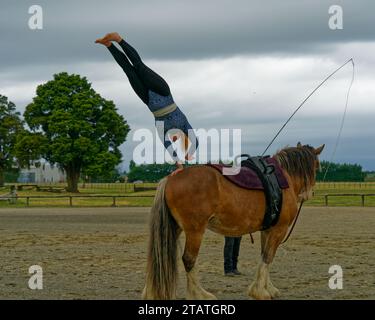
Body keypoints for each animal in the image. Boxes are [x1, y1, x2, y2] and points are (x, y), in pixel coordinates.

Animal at [142, 142, 324, 300]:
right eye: (317, 167)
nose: (310, 193)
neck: (282, 179)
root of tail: (171, 178)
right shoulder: (278, 230)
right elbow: (268, 257)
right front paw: (260, 291)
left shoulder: (267, 230)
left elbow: (265, 256)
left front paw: (269, 288)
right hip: (195, 231)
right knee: (189, 260)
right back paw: (199, 294)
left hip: (175, 229)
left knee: (159, 258)